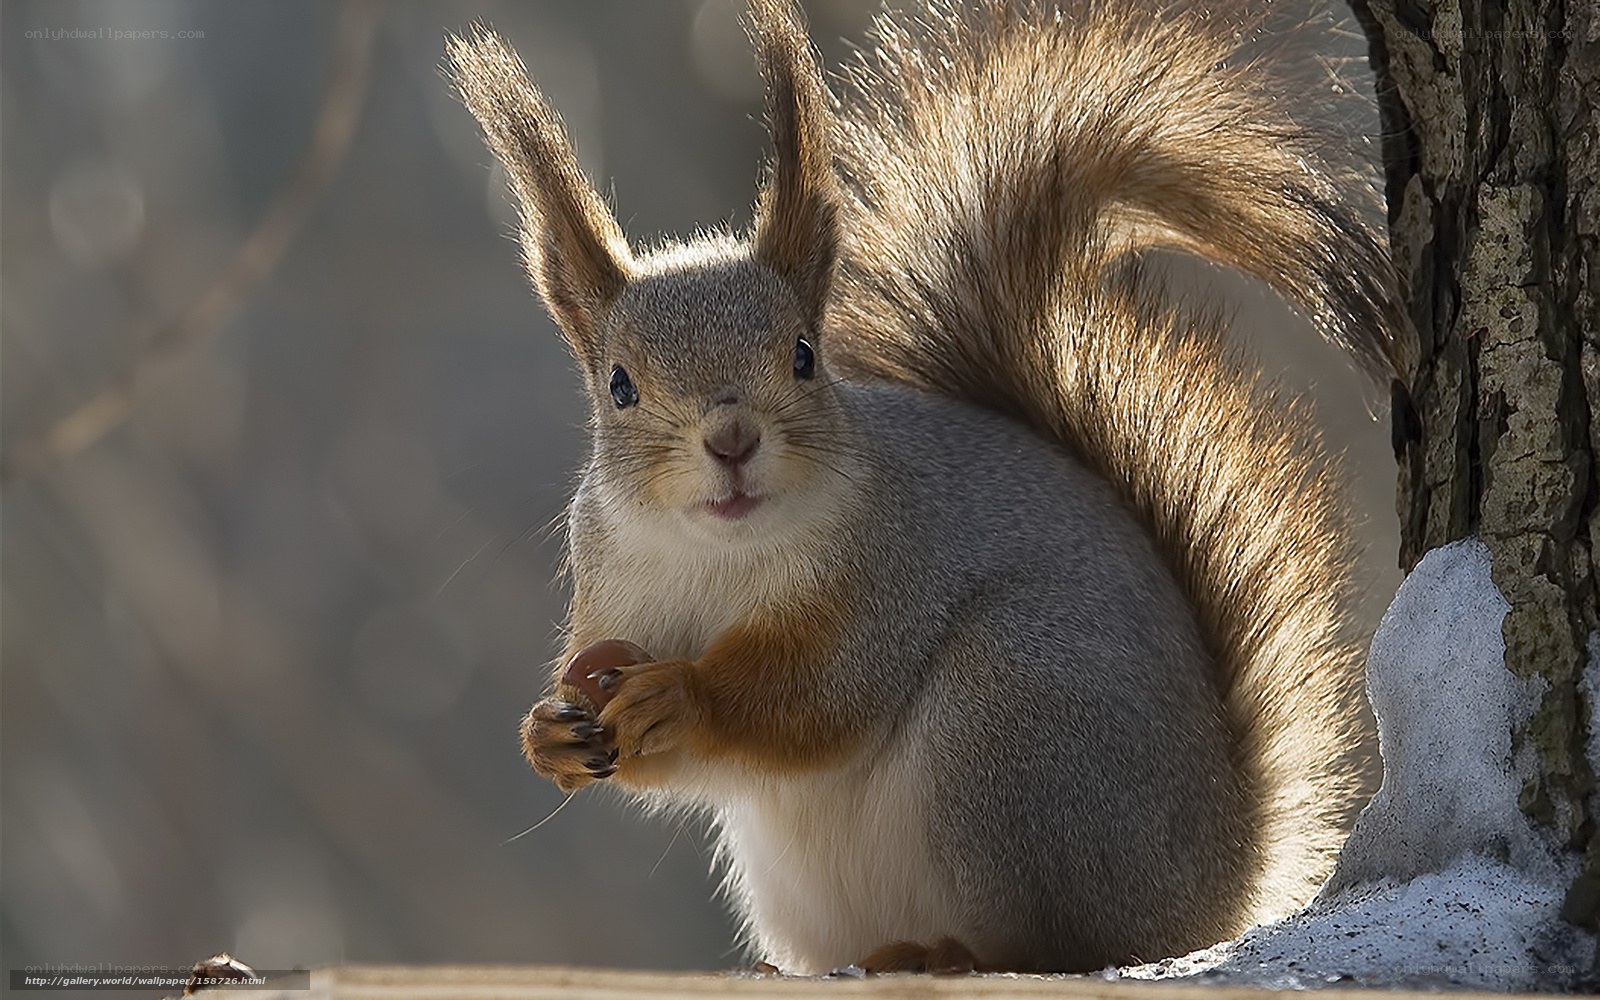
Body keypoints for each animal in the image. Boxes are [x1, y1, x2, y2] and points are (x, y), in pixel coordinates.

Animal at [448, 0, 1410, 976]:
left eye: (804, 356)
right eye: (619, 385)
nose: (731, 439)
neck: (720, 555)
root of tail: (1220, 880)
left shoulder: (889, 571)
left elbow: (818, 698)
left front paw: (685, 695)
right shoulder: (615, 594)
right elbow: (672, 762)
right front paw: (548, 734)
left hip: (1012, 719)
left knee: (1061, 939)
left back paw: (945, 953)